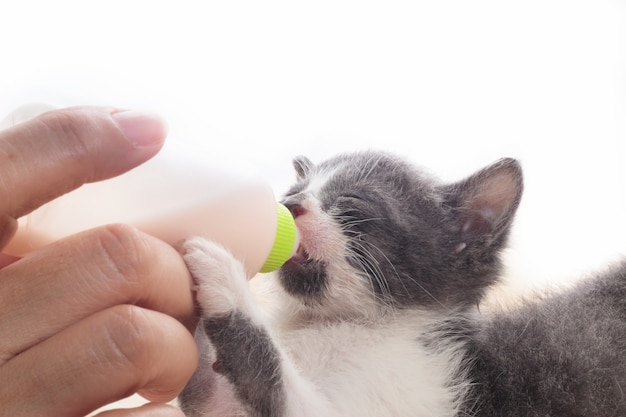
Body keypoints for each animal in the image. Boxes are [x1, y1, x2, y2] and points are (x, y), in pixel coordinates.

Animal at [177, 150, 624, 416]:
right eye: (294, 191)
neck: (329, 325)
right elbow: (210, 393)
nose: (288, 205)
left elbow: (272, 374)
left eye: (351, 204)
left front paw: (226, 277)